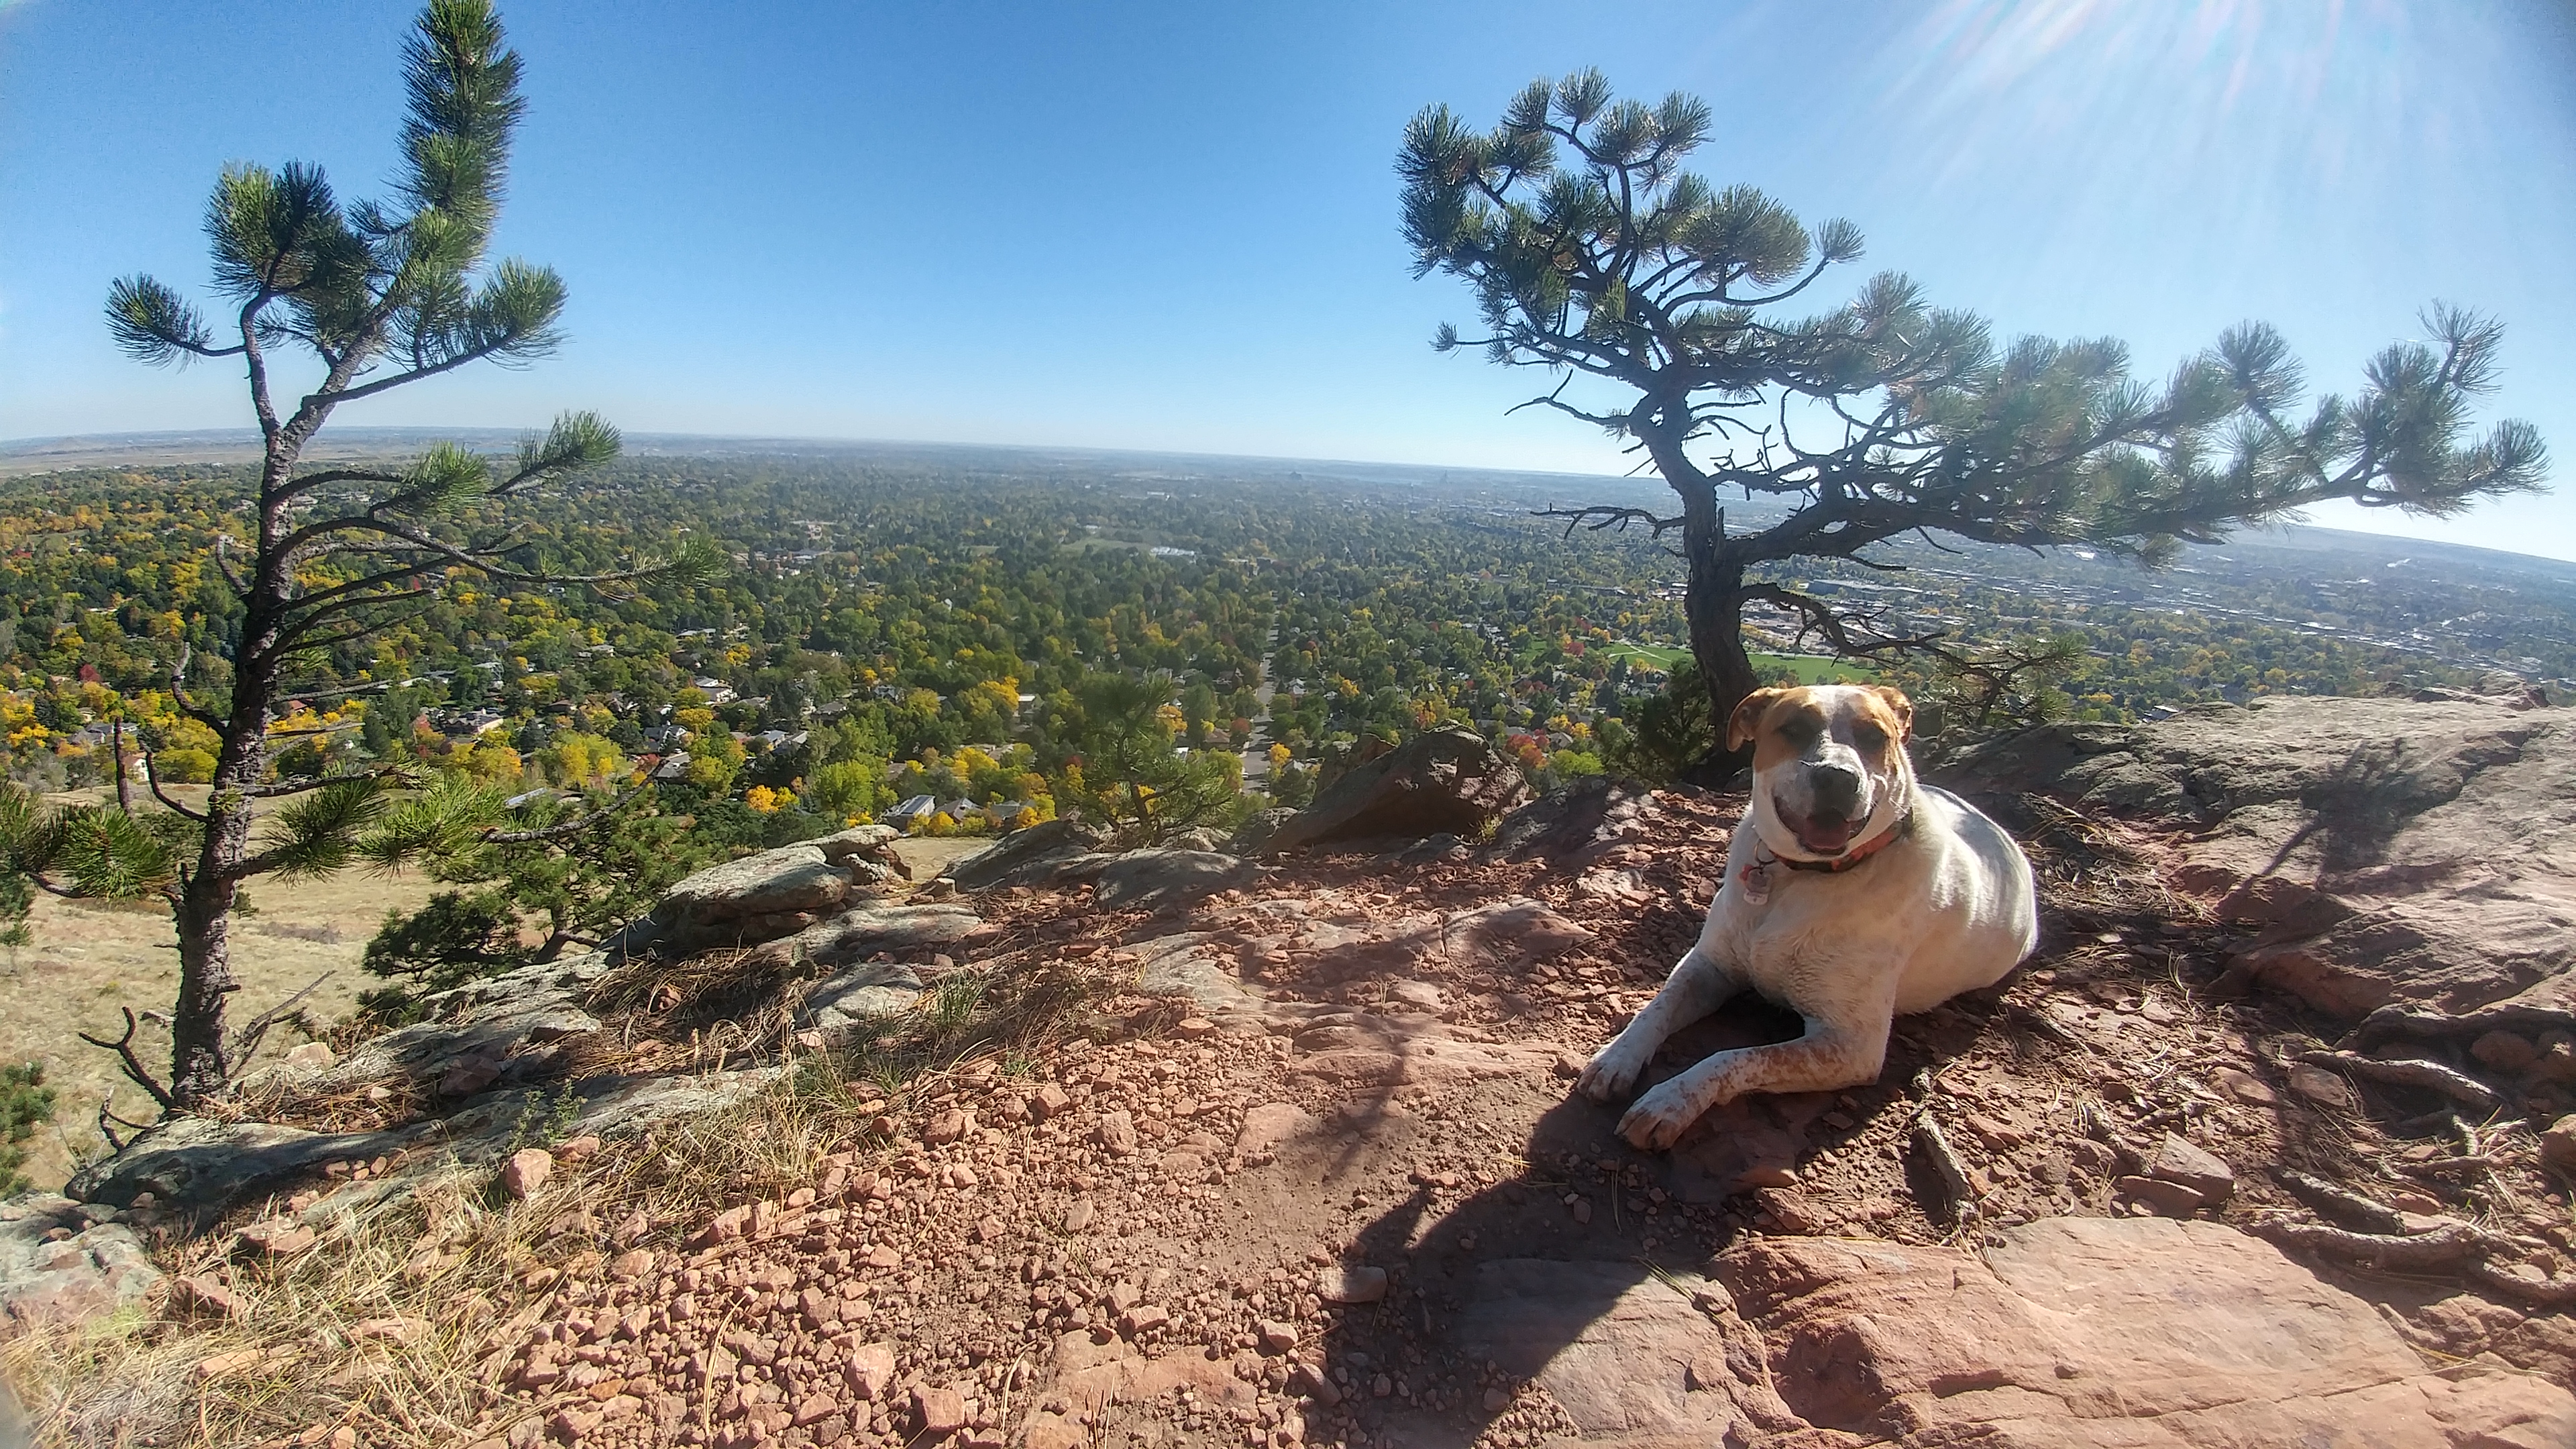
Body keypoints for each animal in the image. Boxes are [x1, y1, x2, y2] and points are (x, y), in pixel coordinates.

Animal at [1566, 680, 2029, 1144]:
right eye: (1793, 728)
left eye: (1874, 736)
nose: (1837, 777)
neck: (1798, 877)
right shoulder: (1710, 964)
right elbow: (1657, 1008)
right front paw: (1616, 1058)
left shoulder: (1850, 1045)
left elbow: (1735, 1057)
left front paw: (1668, 1101)